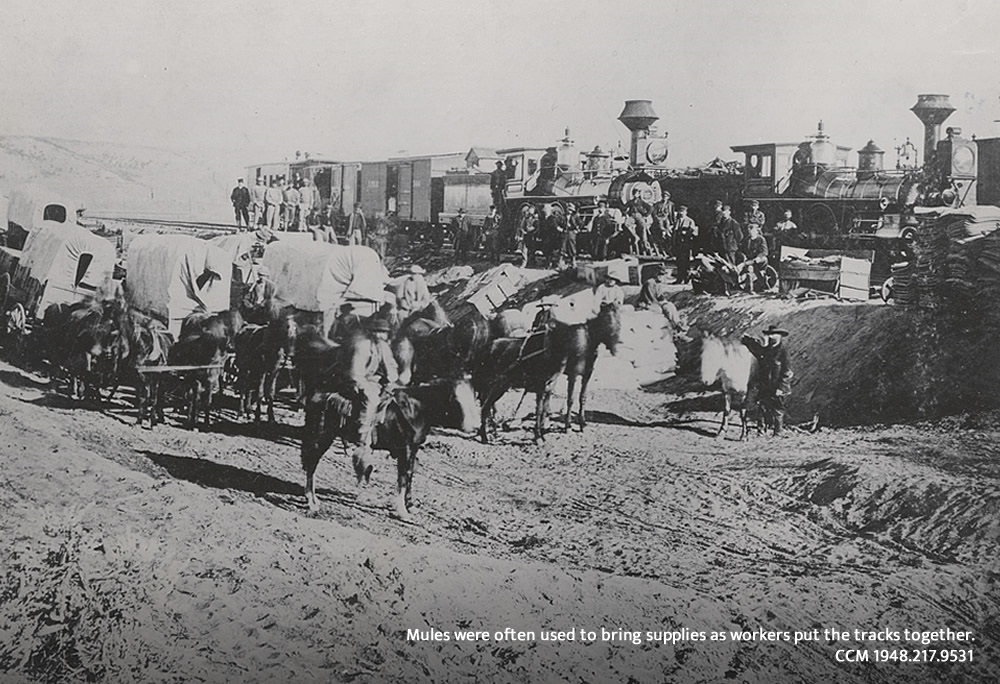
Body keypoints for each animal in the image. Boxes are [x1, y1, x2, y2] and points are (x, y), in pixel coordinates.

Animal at [300, 380, 480, 520]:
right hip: (322, 437)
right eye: (457, 400)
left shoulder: (413, 449)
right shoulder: (405, 449)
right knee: (312, 464)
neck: (416, 408)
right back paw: (312, 502)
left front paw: (410, 505)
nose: (475, 426)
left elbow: (410, 474)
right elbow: (403, 477)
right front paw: (402, 511)